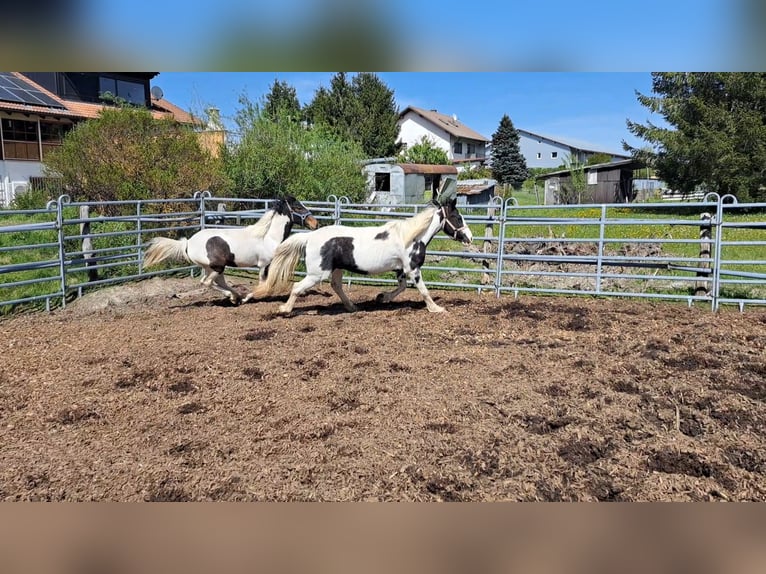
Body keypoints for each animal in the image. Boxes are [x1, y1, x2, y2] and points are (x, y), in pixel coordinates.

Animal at [143, 197, 318, 306]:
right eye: (297, 207)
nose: (314, 223)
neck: (268, 236)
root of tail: (188, 243)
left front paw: (245, 297)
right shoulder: (264, 265)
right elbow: (263, 284)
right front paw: (248, 298)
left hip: (214, 268)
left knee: (218, 282)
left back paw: (235, 297)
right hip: (217, 267)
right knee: (207, 282)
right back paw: (234, 297)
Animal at [246, 182, 474, 316]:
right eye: (457, 217)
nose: (469, 237)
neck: (410, 237)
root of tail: (310, 236)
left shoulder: (401, 269)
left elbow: (401, 288)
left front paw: (382, 297)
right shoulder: (412, 268)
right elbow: (423, 290)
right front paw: (436, 308)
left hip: (335, 270)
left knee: (336, 286)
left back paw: (352, 307)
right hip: (317, 274)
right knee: (297, 287)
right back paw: (285, 309)